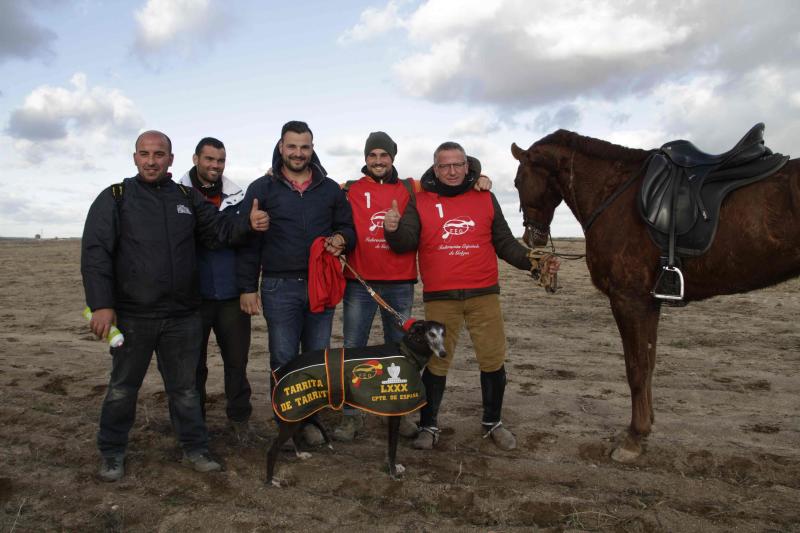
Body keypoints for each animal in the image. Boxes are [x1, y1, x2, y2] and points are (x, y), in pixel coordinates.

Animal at [268, 320, 444, 486]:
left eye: (443, 334)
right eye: (431, 334)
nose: (443, 353)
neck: (406, 352)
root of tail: (282, 369)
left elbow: (389, 450)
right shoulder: (395, 414)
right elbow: (392, 449)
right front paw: (393, 473)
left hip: (300, 412)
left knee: (295, 434)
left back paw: (299, 454)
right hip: (293, 414)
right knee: (273, 448)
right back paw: (270, 480)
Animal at [512, 130, 800, 462]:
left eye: (518, 181)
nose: (532, 238)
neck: (615, 193)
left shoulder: (630, 300)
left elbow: (636, 368)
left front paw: (633, 438)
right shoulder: (649, 302)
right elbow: (648, 365)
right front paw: (645, 427)